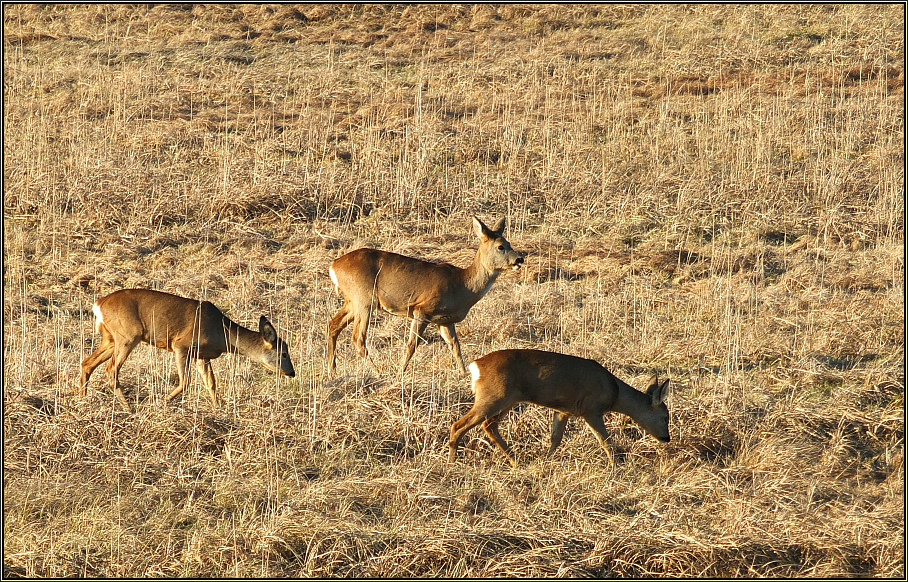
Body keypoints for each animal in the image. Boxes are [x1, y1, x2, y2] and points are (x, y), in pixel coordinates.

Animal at [80, 290, 296, 412]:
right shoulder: (182, 345)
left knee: (87, 363)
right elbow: (186, 381)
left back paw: (82, 399)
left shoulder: (202, 356)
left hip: (111, 338)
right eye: (284, 353)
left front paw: (218, 408)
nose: (292, 373)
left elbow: (211, 383)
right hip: (128, 334)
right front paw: (163, 401)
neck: (222, 333)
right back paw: (128, 408)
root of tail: (98, 304)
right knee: (111, 369)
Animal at [326, 218, 524, 378]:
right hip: (363, 298)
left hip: (352, 300)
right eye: (500, 246)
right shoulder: (422, 309)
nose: (519, 259)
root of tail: (334, 266)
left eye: (509, 243)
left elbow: (455, 345)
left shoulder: (445, 320)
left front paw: (463, 373)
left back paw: (332, 371)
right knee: (357, 337)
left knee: (333, 325)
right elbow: (412, 344)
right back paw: (376, 372)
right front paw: (400, 373)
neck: (462, 286)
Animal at [450, 352, 672, 466]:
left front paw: (545, 461)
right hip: (494, 397)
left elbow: (555, 438)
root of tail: (475, 366)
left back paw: (515, 461)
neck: (615, 393)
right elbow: (605, 440)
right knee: (459, 425)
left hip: (506, 400)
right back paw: (451, 462)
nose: (666, 438)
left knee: (489, 426)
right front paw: (615, 466)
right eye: (665, 417)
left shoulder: (564, 410)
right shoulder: (591, 409)